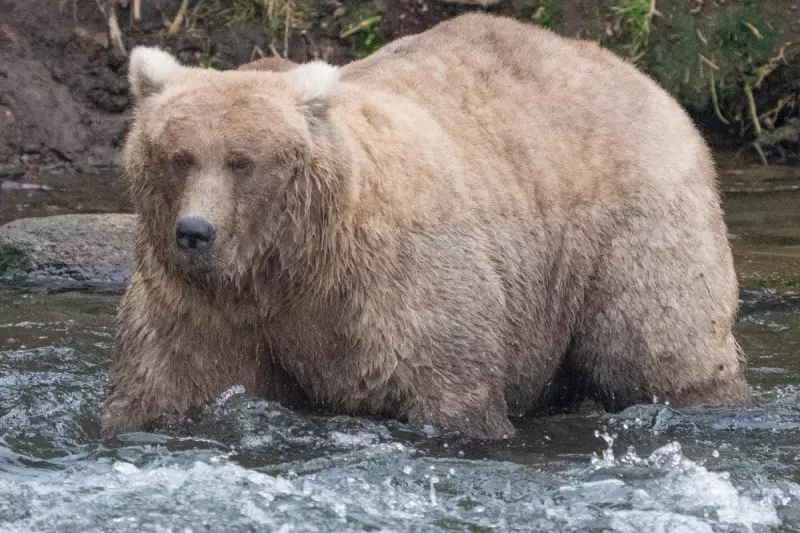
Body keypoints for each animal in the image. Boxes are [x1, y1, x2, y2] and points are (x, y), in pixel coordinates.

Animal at [101, 13, 749, 439]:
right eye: (178, 156)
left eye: (242, 161)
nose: (195, 231)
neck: (289, 264)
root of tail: (638, 76)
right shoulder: (203, 305)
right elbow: (167, 381)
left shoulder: (396, 284)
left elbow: (446, 385)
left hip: (631, 227)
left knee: (657, 344)